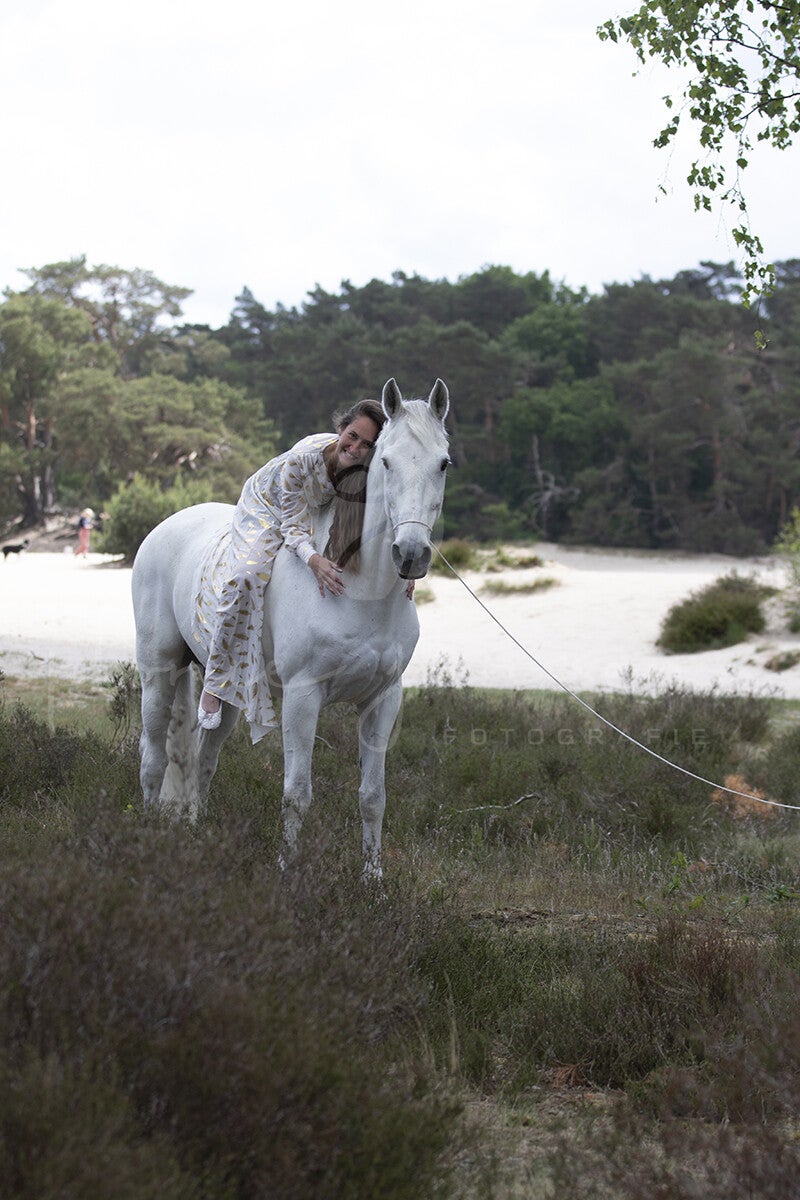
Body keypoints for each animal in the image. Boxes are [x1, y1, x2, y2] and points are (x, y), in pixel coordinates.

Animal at [131, 377, 451, 878]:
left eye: (443, 463)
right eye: (385, 461)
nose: (411, 555)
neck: (360, 589)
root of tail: (164, 526)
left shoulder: (383, 700)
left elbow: (373, 797)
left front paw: (373, 880)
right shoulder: (304, 696)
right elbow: (297, 793)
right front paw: (289, 871)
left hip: (228, 689)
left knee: (202, 757)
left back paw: (197, 831)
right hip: (158, 672)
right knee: (154, 756)